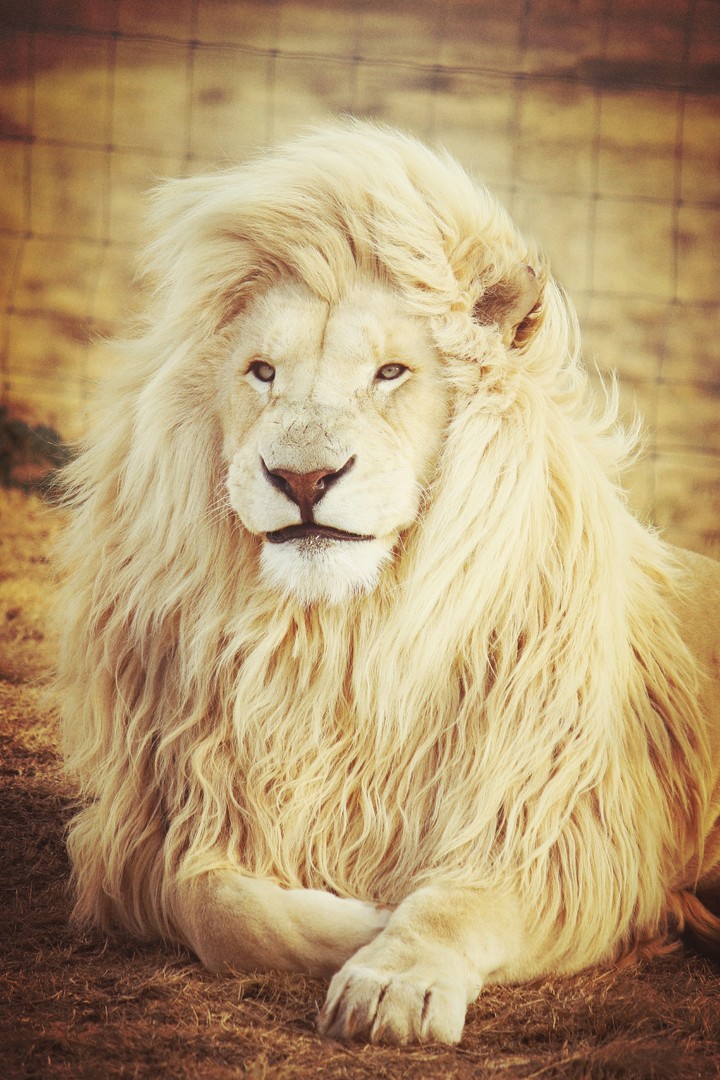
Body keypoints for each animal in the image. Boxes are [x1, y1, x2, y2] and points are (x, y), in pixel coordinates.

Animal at [55, 119, 720, 1046]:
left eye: (391, 373)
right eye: (262, 371)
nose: (302, 478)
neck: (340, 641)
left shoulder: (557, 833)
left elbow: (454, 903)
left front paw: (391, 977)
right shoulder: (163, 824)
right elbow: (216, 905)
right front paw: (359, 921)